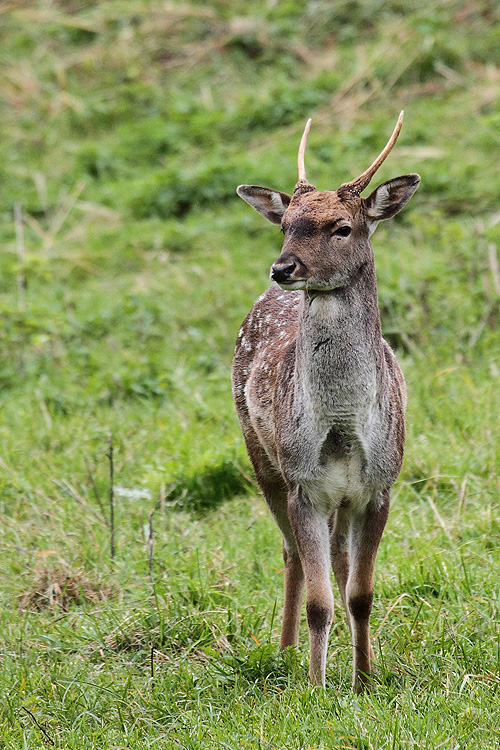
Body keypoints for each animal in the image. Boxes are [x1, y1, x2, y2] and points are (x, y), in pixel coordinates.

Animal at [232, 111, 420, 692]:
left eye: (342, 226)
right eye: (286, 223)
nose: (283, 268)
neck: (339, 428)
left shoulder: (380, 485)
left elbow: (360, 594)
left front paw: (364, 680)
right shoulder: (305, 486)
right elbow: (321, 602)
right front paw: (317, 688)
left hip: (342, 497)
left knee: (338, 559)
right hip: (262, 456)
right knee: (291, 551)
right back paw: (286, 651)